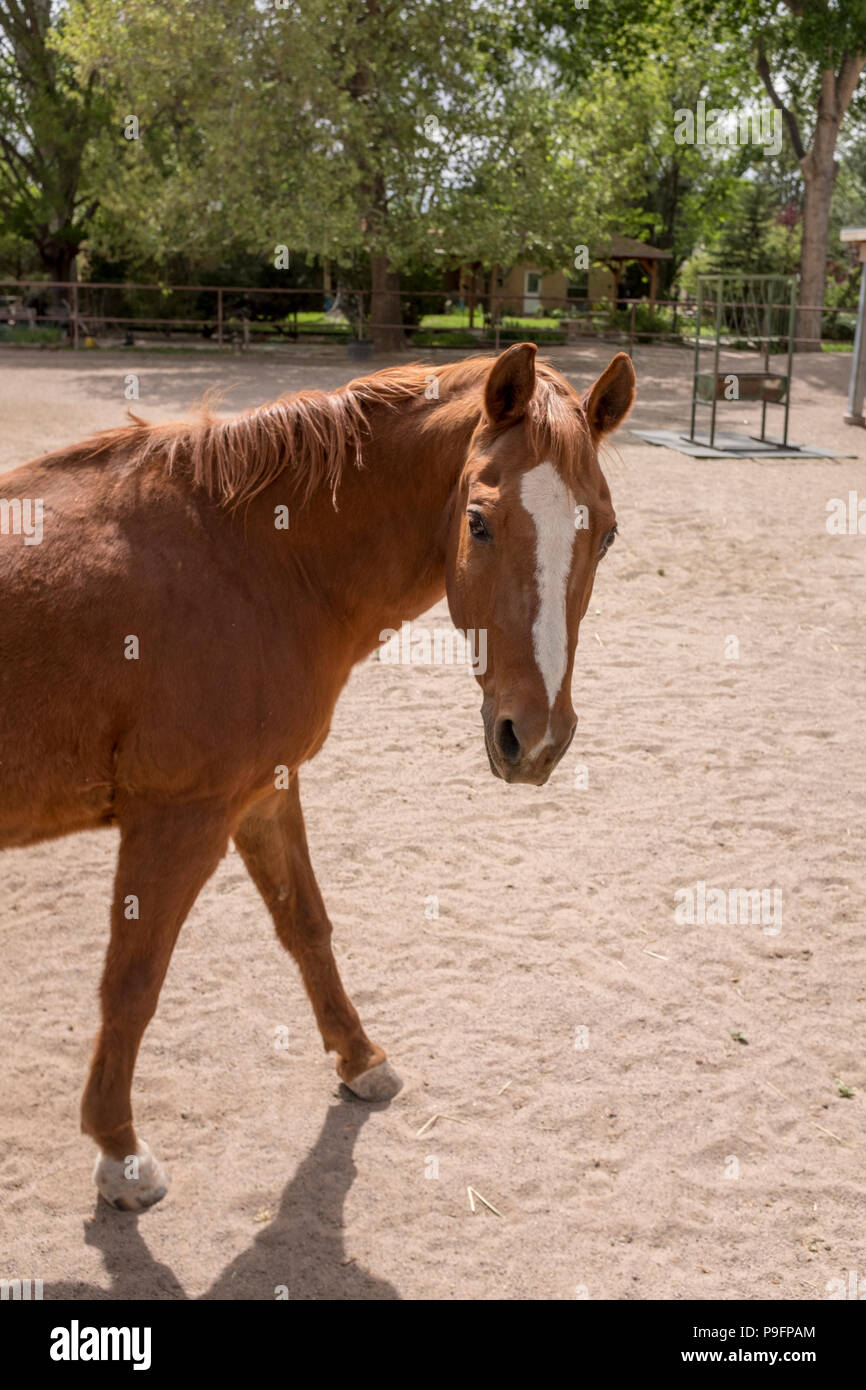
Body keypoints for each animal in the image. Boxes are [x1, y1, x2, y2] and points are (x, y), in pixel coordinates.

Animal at [0, 342, 634, 1209]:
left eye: (604, 536)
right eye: (478, 522)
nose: (534, 740)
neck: (250, 558)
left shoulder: (262, 793)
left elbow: (307, 926)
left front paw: (362, 1060)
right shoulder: (179, 817)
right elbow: (133, 980)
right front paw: (119, 1152)